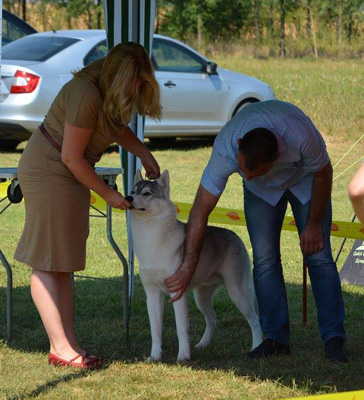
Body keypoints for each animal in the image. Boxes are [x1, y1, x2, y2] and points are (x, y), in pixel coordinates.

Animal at [126, 170, 262, 360]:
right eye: (132, 191)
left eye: (146, 193)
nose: (128, 198)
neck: (150, 235)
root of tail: (235, 236)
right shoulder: (152, 296)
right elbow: (155, 331)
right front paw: (155, 356)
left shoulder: (177, 294)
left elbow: (182, 330)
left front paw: (183, 356)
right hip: (201, 298)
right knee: (212, 319)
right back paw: (203, 344)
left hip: (238, 294)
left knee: (255, 321)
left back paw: (256, 347)